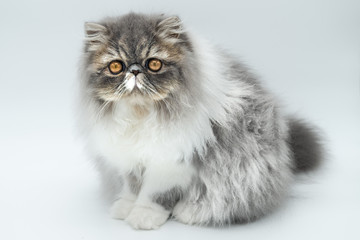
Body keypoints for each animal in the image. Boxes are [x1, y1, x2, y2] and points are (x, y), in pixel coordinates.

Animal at [78, 12, 324, 230]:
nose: (135, 71)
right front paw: (125, 208)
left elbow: (154, 194)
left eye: (154, 64)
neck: (142, 115)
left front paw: (144, 216)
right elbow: (132, 188)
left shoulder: (171, 162)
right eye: (116, 66)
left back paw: (188, 212)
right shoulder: (128, 158)